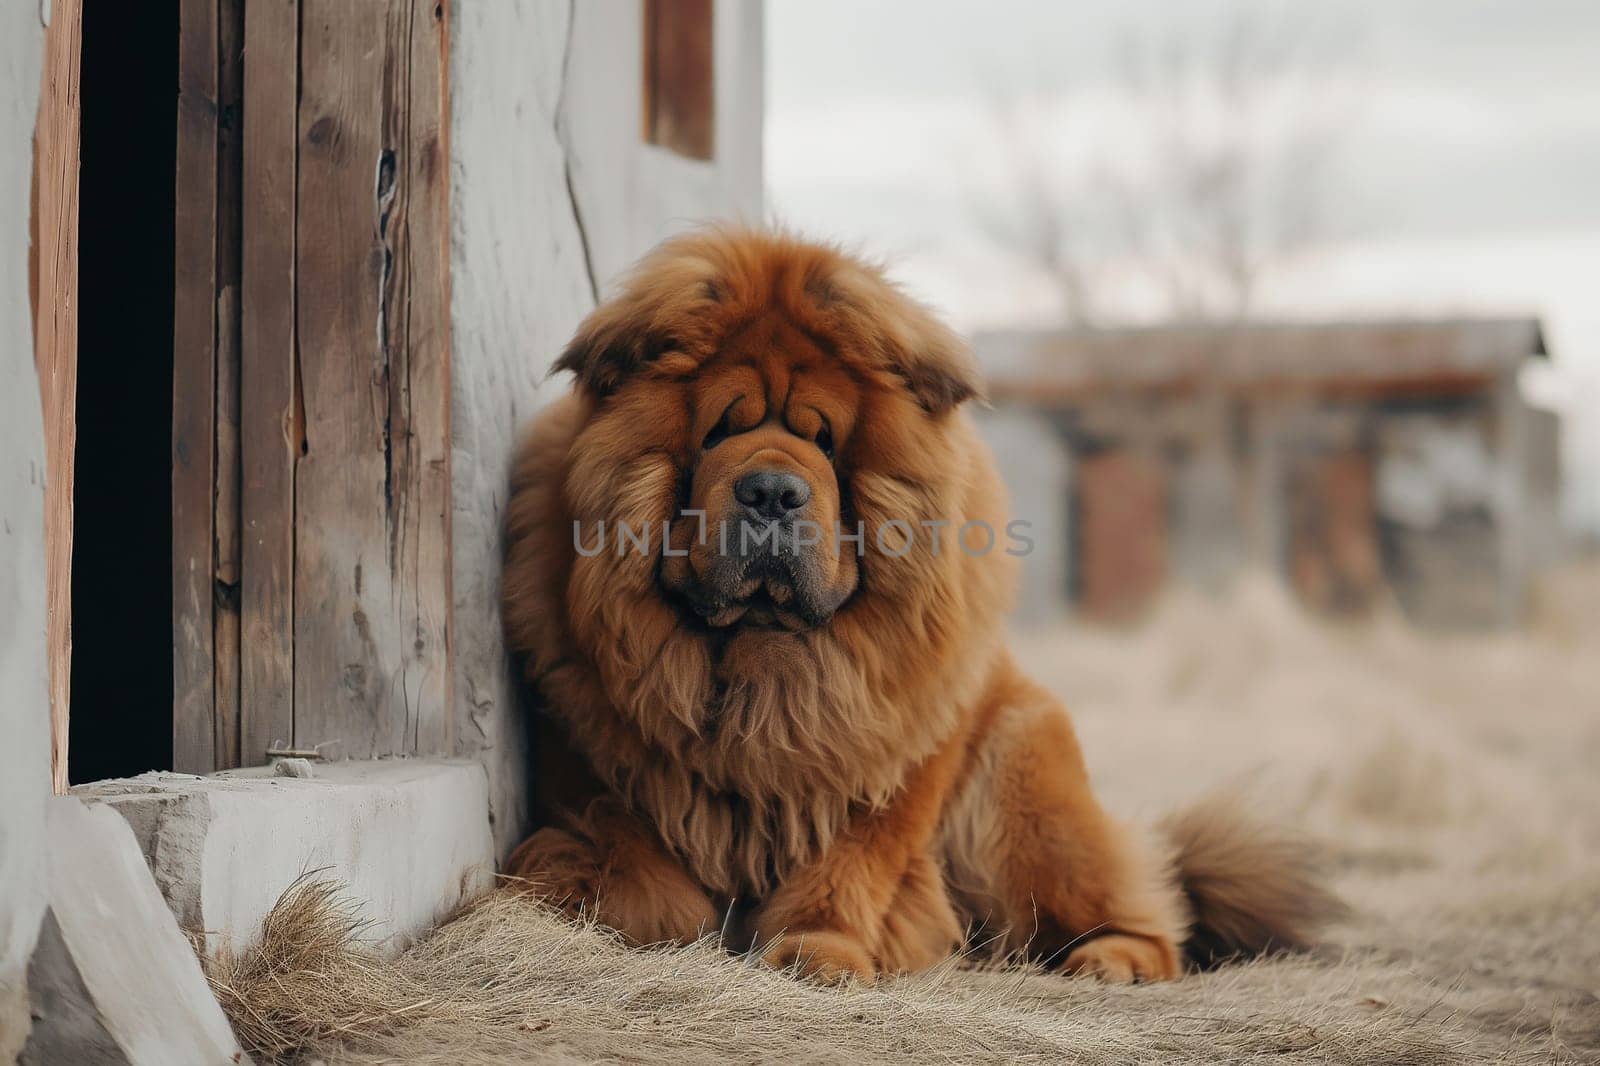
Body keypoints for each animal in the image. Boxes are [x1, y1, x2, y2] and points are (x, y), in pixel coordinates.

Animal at [505, 225, 1344, 979]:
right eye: (718, 434)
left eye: (825, 441)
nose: (773, 489)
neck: (765, 670)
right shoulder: (601, 775)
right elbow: (637, 877)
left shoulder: (893, 771)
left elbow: (851, 872)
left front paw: (820, 952)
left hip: (1026, 798)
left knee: (1145, 905)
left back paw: (1113, 961)